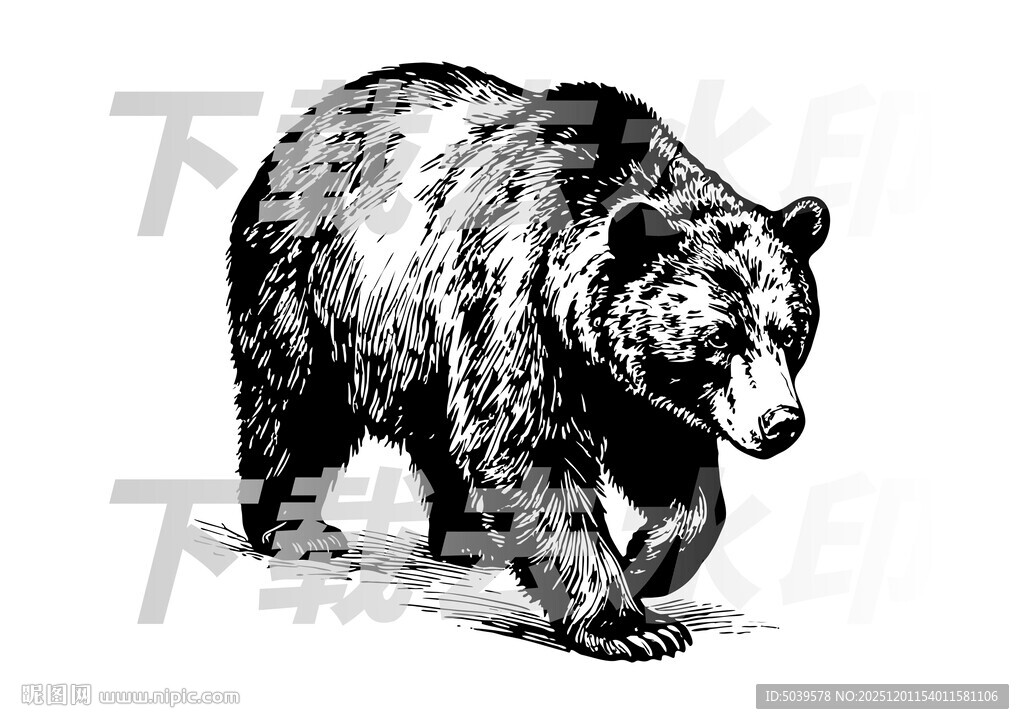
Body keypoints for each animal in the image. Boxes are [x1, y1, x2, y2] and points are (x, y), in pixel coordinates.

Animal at [227, 63, 829, 661]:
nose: (781, 422)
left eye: (791, 332)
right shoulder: (517, 312)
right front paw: (629, 626)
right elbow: (532, 456)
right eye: (720, 337)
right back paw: (298, 530)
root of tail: (306, 124)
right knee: (296, 410)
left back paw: (470, 539)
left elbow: (679, 479)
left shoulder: (633, 390)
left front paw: (645, 565)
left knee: (437, 437)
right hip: (313, 294)